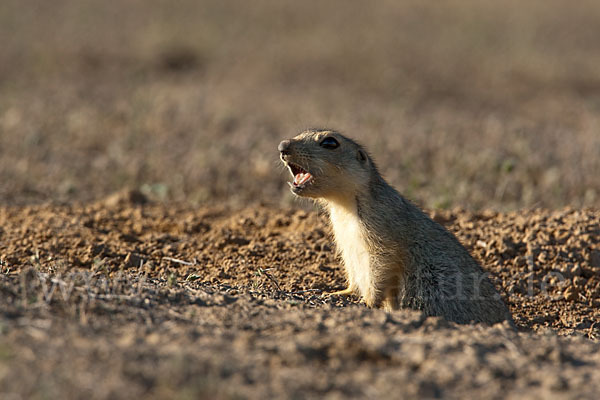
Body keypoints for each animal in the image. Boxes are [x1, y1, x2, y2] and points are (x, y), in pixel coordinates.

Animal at [278, 129, 512, 324]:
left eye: (329, 142)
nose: (282, 145)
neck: (343, 208)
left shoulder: (382, 231)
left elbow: (382, 267)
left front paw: (367, 303)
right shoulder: (345, 244)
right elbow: (353, 273)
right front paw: (338, 293)